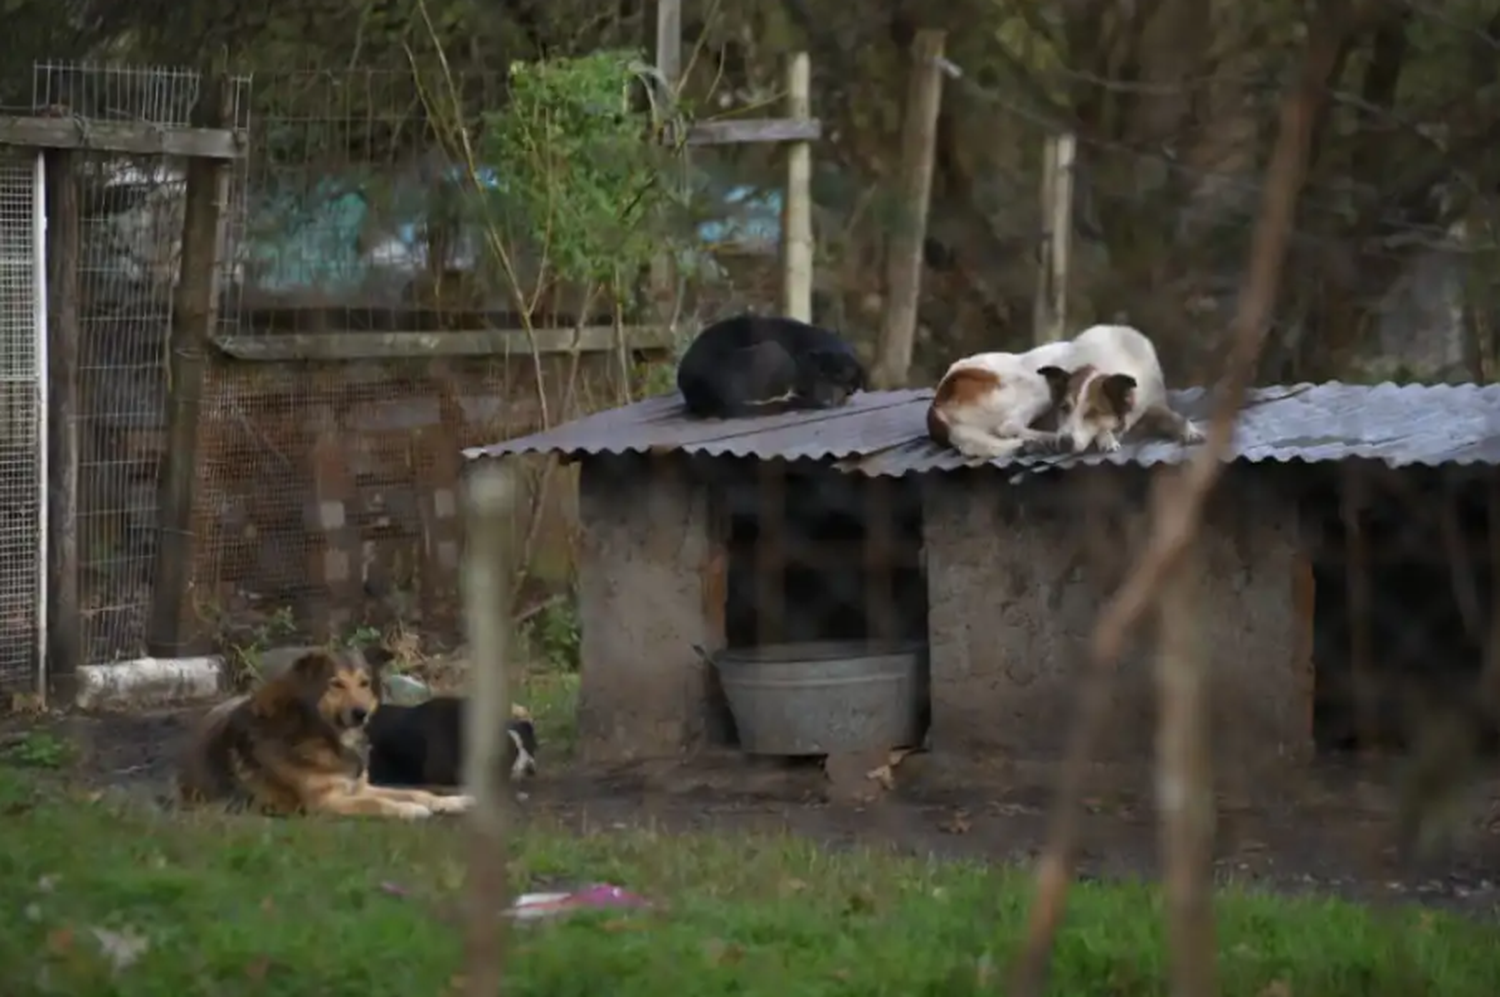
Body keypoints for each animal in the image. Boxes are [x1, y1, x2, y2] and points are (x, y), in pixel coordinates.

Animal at [180, 644, 474, 815]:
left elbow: (418, 792)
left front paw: (451, 802)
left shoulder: (359, 788)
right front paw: (409, 810)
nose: (360, 714)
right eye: (336, 684)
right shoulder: (326, 803)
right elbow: (378, 804)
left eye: (364, 683)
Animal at [924, 322, 1206, 458]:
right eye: (1064, 408)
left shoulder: (1150, 402)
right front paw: (1105, 438)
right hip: (1036, 387)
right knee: (1008, 426)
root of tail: (938, 399)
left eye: (1092, 412)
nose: (1065, 441)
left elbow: (1172, 416)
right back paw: (1044, 440)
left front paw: (1189, 430)